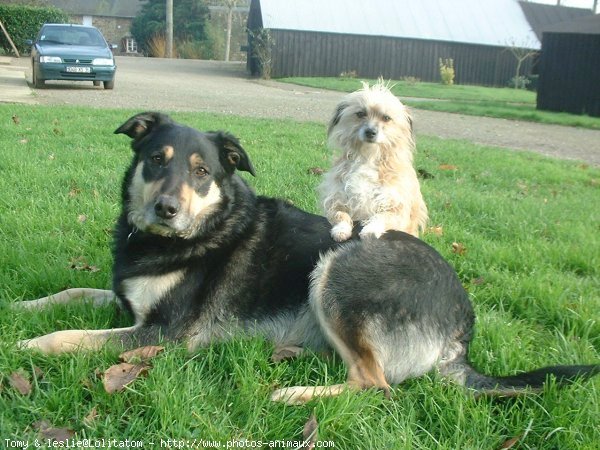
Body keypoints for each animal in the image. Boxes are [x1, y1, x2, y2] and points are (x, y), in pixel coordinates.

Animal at [16, 111, 596, 404]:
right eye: (157, 160)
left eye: (202, 172)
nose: (166, 209)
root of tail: (462, 327)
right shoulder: (124, 302)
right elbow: (71, 291)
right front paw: (22, 307)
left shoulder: (164, 333)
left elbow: (72, 337)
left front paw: (26, 344)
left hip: (340, 269)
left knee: (376, 385)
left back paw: (294, 392)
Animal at [318, 81, 426, 243]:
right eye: (360, 114)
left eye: (386, 118)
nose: (370, 132)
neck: (368, 157)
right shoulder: (337, 197)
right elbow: (340, 214)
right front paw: (341, 229)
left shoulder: (395, 206)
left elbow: (381, 217)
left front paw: (371, 229)